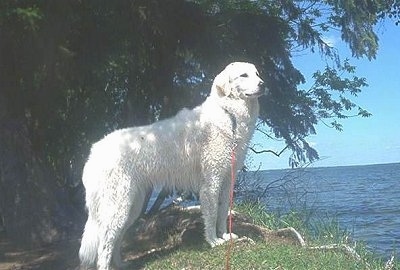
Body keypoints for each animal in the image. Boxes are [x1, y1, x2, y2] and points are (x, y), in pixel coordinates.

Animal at [78, 62, 266, 268]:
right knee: (105, 243)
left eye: (257, 74)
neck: (229, 114)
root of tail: (94, 152)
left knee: (116, 238)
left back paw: (120, 265)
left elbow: (223, 211)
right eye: (244, 75)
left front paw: (225, 236)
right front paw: (213, 241)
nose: (263, 85)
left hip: (132, 205)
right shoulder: (212, 182)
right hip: (117, 206)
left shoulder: (227, 180)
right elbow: (212, 214)